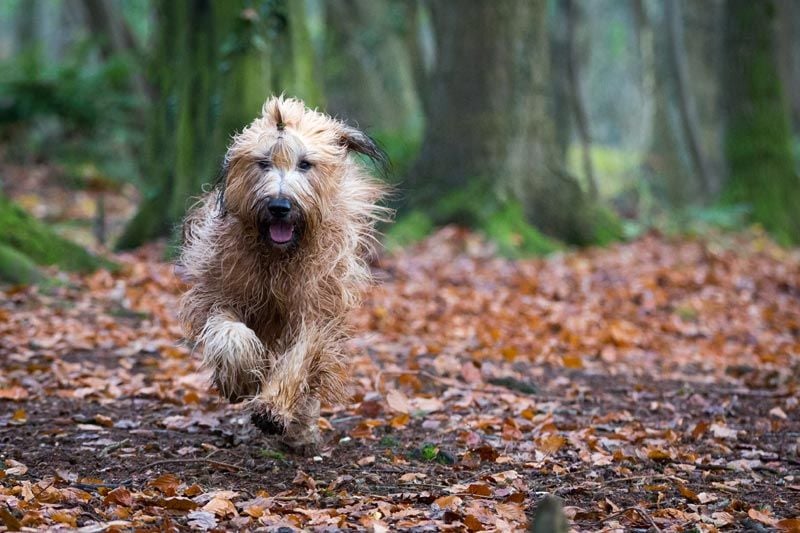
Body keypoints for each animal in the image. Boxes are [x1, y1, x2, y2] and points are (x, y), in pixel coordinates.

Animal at [177, 96, 390, 454]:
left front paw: (273, 409)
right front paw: (239, 380)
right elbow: (230, 334)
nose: (279, 205)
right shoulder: (222, 291)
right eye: (263, 162)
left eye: (305, 164)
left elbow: (299, 357)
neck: (278, 258)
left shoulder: (315, 307)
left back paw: (300, 433)